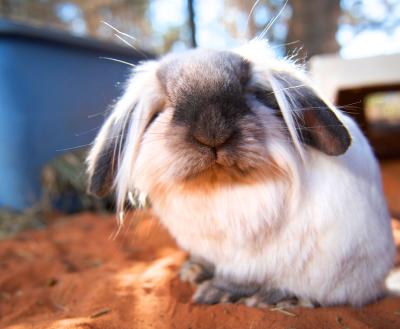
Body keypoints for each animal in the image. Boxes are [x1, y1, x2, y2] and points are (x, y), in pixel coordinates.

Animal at [86, 40, 396, 304]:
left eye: (250, 95)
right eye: (167, 105)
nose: (212, 133)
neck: (219, 187)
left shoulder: (249, 259)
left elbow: (241, 277)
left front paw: (213, 292)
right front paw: (192, 272)